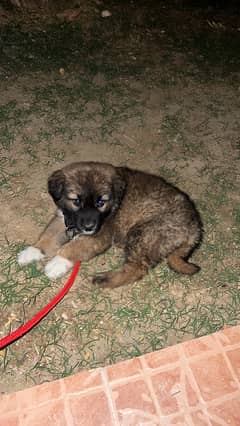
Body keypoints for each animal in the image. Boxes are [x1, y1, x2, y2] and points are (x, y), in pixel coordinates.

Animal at [18, 161, 202, 288]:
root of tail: (194, 228)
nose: (89, 227)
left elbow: (73, 247)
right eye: (76, 201)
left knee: (136, 269)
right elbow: (48, 236)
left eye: (101, 202)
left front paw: (57, 263)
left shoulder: (99, 235)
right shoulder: (63, 219)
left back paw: (104, 279)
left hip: (144, 234)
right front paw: (32, 251)